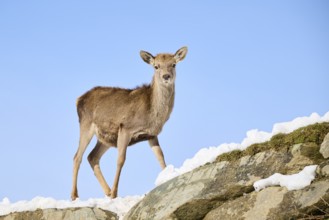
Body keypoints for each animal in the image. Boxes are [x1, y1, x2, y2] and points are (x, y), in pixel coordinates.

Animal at [71, 46, 187, 201]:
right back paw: (75, 195)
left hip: (106, 138)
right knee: (77, 157)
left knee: (92, 156)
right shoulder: (125, 128)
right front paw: (115, 193)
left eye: (173, 64)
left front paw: (168, 177)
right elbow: (120, 160)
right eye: (156, 66)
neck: (152, 114)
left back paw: (107, 191)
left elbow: (160, 156)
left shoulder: (151, 134)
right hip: (86, 125)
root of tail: (78, 99)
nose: (166, 76)